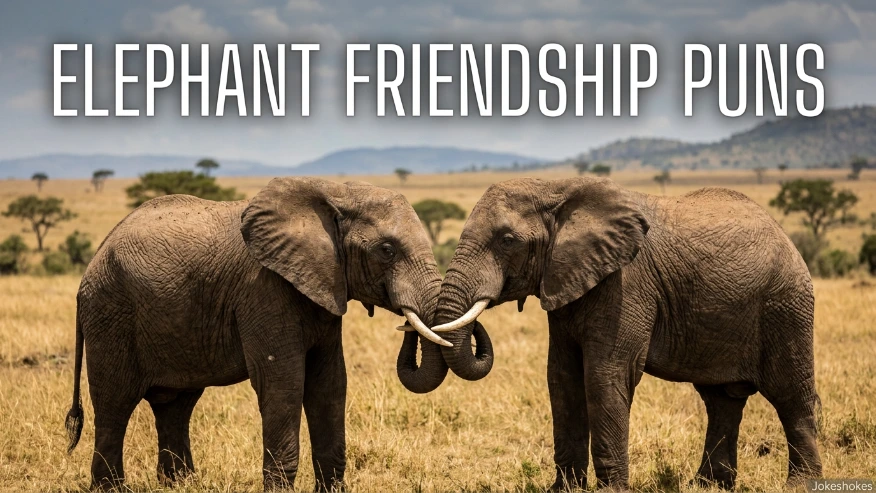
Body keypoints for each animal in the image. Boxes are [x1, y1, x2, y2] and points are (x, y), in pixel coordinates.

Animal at [64, 177, 452, 491]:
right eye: (386, 250)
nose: (407, 320)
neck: (334, 192)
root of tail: (94, 260)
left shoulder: (325, 286)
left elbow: (329, 384)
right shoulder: (264, 289)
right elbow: (283, 383)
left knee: (175, 405)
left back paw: (181, 484)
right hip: (110, 313)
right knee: (115, 402)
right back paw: (111, 488)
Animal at [429, 177, 822, 490]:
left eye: (507, 240)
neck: (556, 188)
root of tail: (786, 237)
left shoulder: (626, 283)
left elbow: (605, 375)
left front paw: (610, 491)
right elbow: (562, 378)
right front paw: (564, 490)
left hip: (786, 306)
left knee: (791, 397)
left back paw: (799, 485)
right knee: (721, 401)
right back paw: (707, 485)